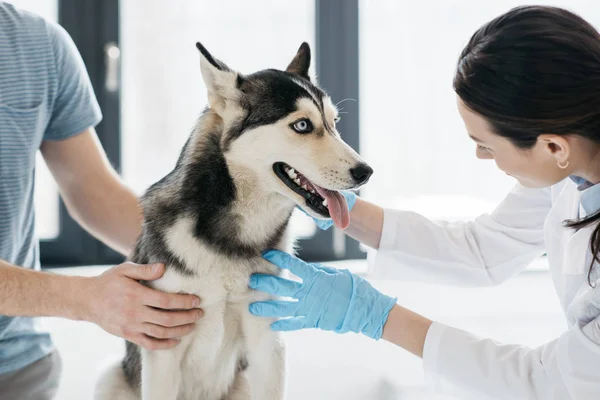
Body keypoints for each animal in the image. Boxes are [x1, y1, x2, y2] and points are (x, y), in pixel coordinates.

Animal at [95, 42, 370, 398]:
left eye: (333, 122)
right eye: (302, 126)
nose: (366, 172)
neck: (229, 241)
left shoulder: (267, 338)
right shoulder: (163, 343)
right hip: (109, 376)